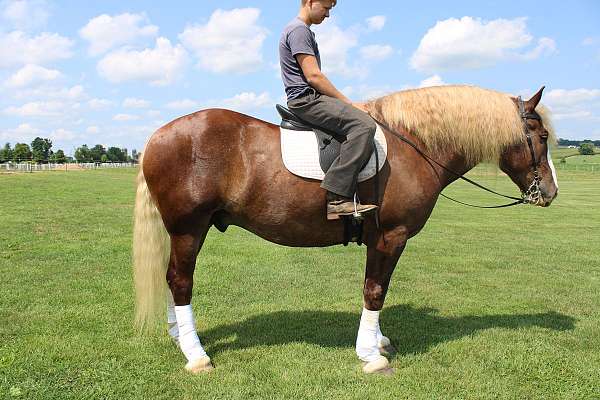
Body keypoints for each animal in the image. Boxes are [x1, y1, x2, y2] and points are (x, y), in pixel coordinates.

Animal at [132, 85, 556, 376]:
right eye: (542, 137)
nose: (550, 192)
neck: (412, 147)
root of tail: (156, 136)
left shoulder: (382, 242)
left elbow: (379, 289)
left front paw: (378, 342)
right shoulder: (390, 237)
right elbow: (375, 291)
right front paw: (370, 355)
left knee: (172, 279)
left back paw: (179, 337)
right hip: (189, 229)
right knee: (181, 281)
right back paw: (196, 354)